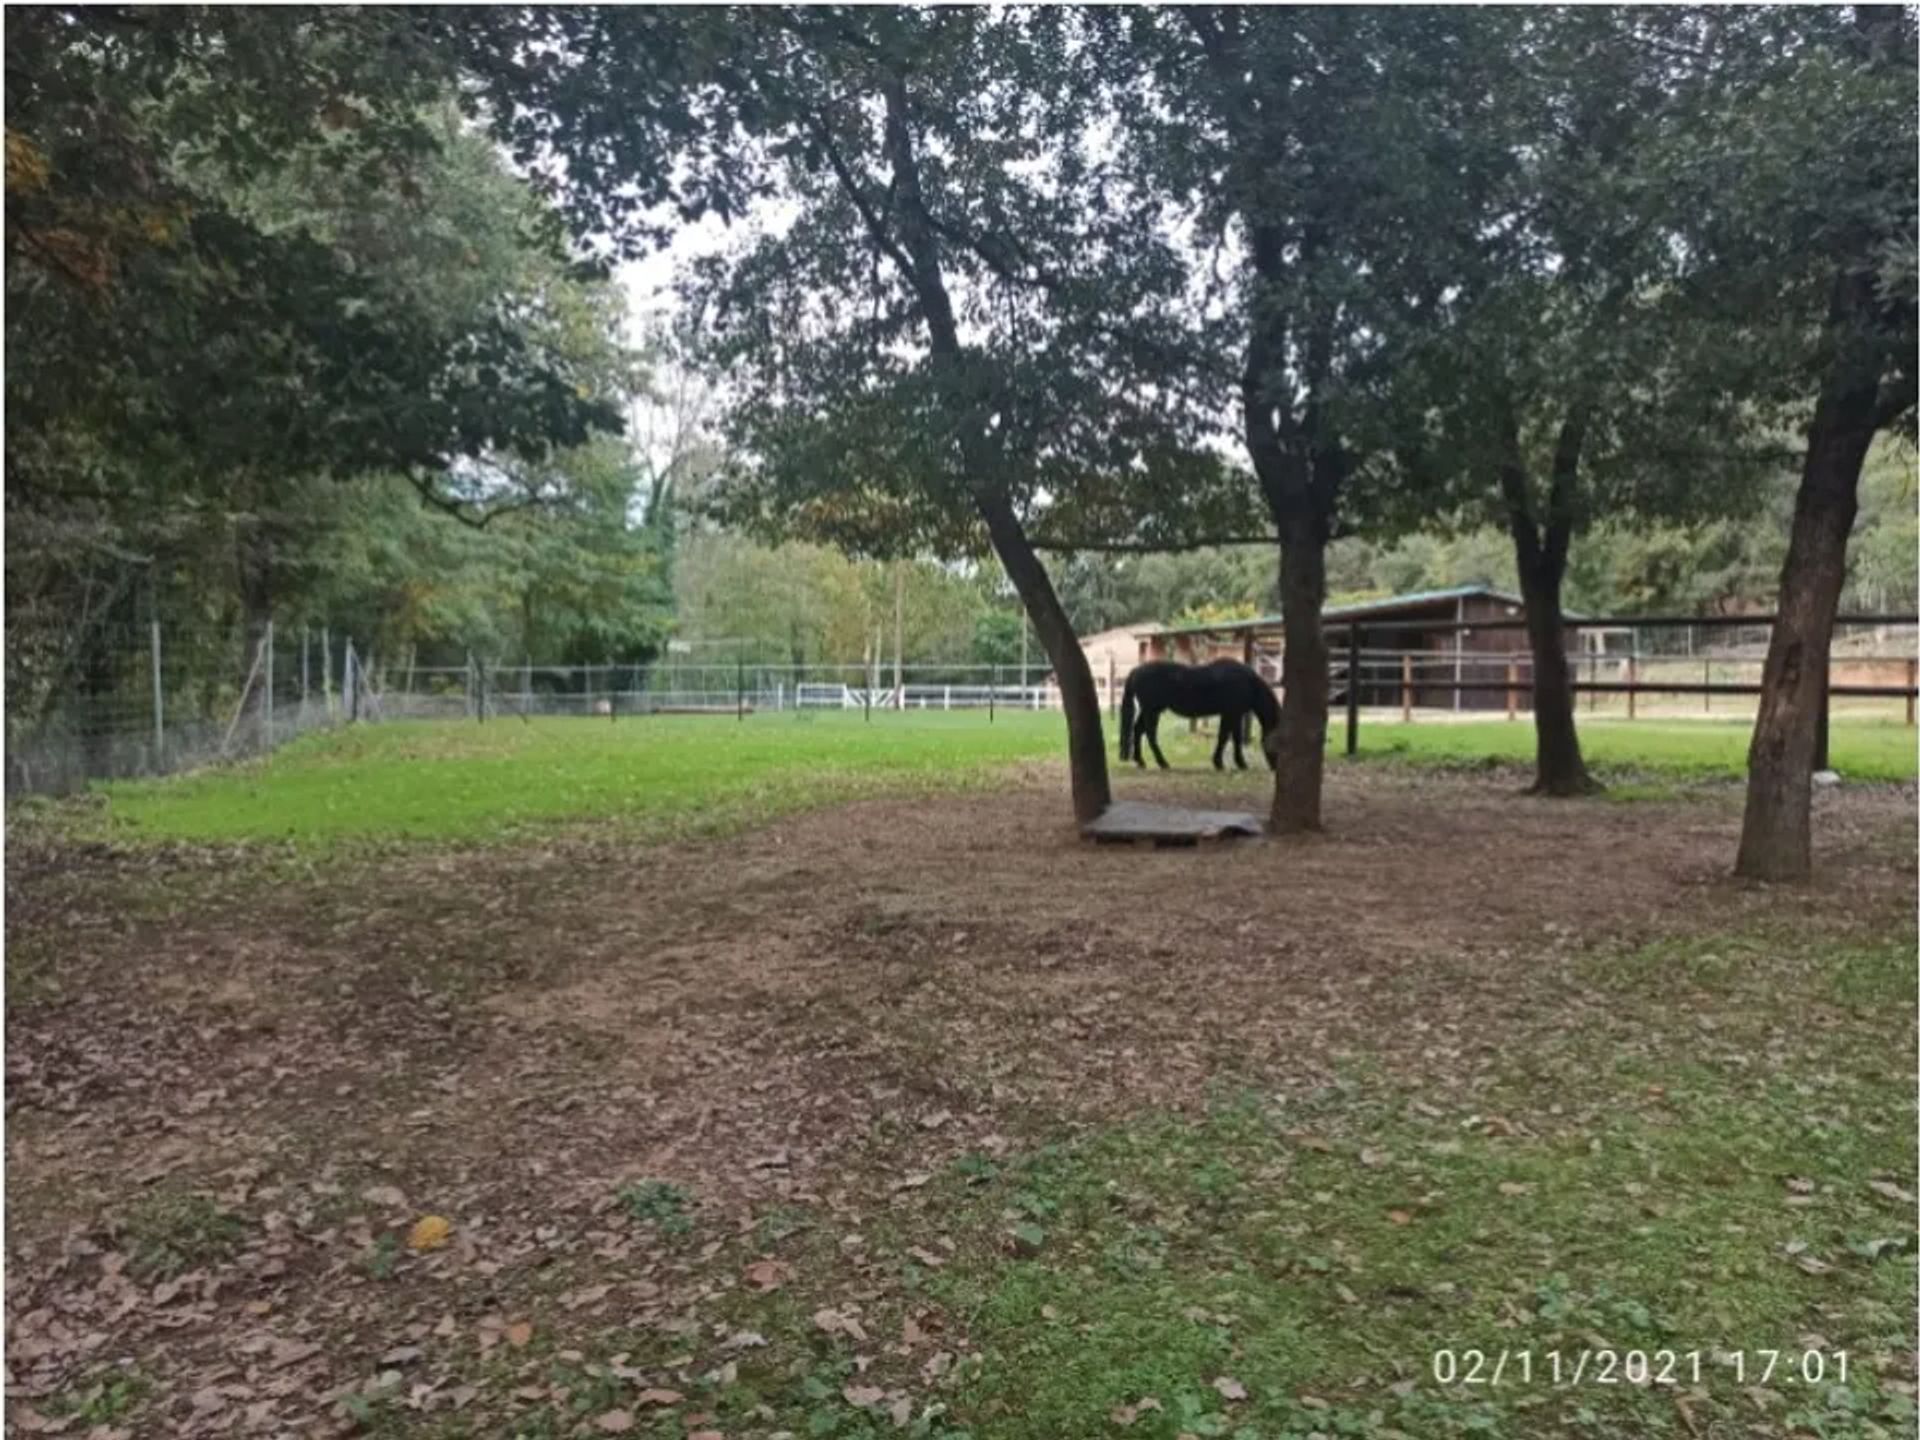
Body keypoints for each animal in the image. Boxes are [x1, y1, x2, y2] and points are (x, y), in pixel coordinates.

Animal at [1121, 664, 1282, 771]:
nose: (1275, 768)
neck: (1248, 683)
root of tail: (1136, 671)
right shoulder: (1231, 714)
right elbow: (1224, 737)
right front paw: (1220, 763)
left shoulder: (1234, 714)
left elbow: (1234, 739)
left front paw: (1239, 763)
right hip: (1152, 711)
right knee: (1150, 734)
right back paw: (1163, 763)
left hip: (1149, 711)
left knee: (1138, 730)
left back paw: (1140, 761)